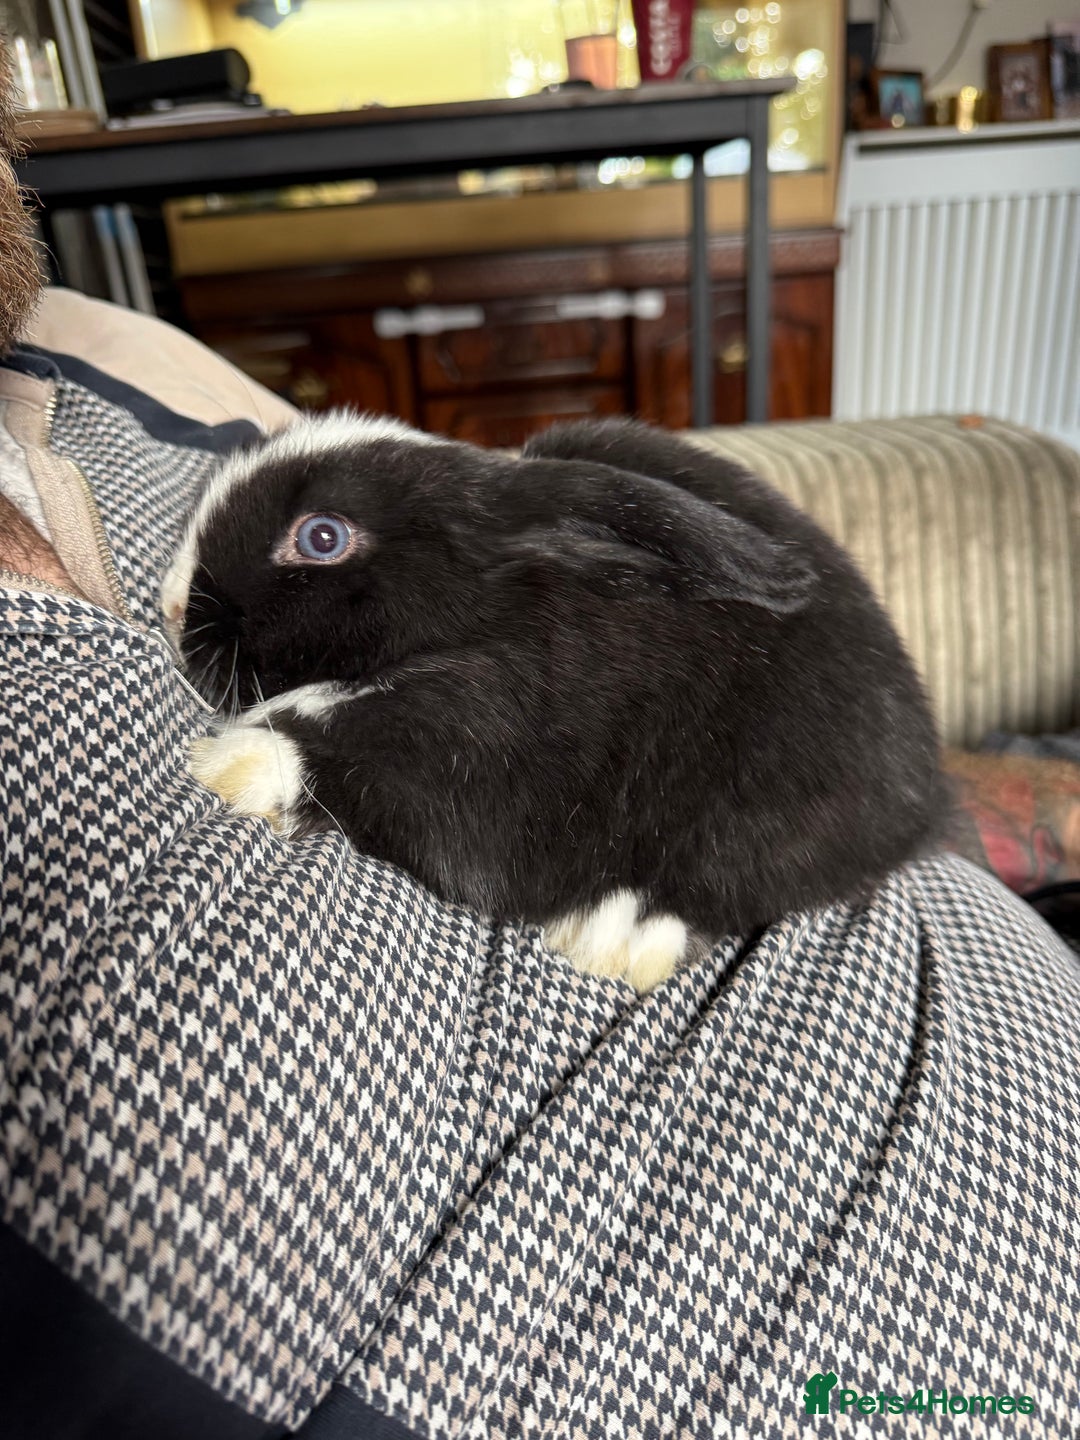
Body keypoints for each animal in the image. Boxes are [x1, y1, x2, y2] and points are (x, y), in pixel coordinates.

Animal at [161, 413, 947, 992]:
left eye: (322, 537)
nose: (171, 609)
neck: (482, 618)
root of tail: (924, 798)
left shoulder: (467, 766)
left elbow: (349, 754)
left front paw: (232, 766)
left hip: (762, 817)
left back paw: (613, 938)